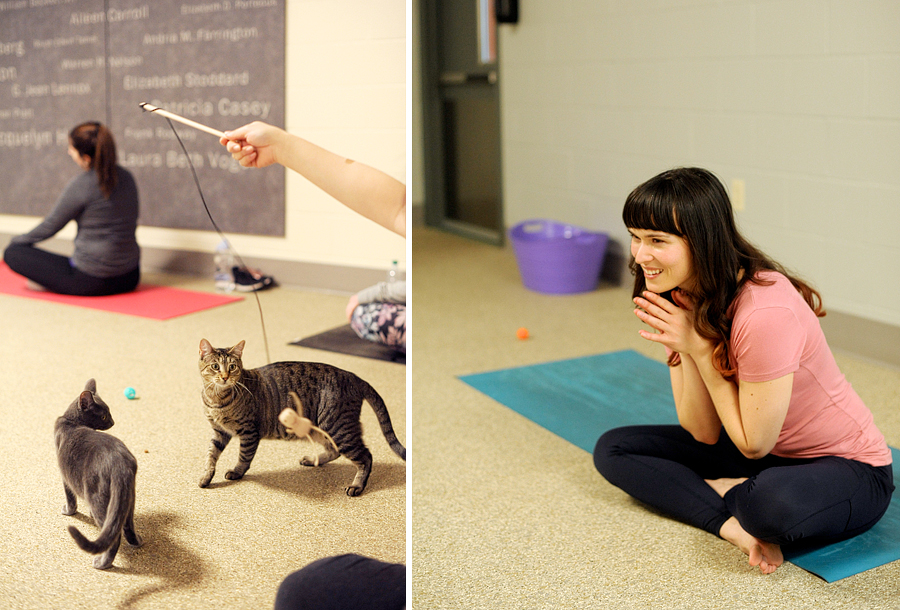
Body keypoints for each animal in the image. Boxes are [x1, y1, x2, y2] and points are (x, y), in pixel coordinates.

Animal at [55, 378, 142, 568]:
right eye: (104, 416)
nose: (113, 422)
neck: (72, 422)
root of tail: (120, 465)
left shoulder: (65, 476)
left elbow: (70, 497)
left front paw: (68, 511)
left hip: (97, 495)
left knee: (114, 536)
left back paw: (103, 563)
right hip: (128, 497)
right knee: (127, 525)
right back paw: (137, 542)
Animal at [200, 338, 408, 494]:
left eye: (232, 367)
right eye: (215, 366)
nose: (225, 377)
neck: (216, 398)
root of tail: (354, 377)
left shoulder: (249, 432)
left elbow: (244, 457)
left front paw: (236, 472)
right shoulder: (219, 432)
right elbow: (211, 455)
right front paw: (206, 477)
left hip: (337, 427)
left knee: (366, 456)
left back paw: (357, 485)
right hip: (323, 428)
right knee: (334, 451)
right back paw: (313, 460)